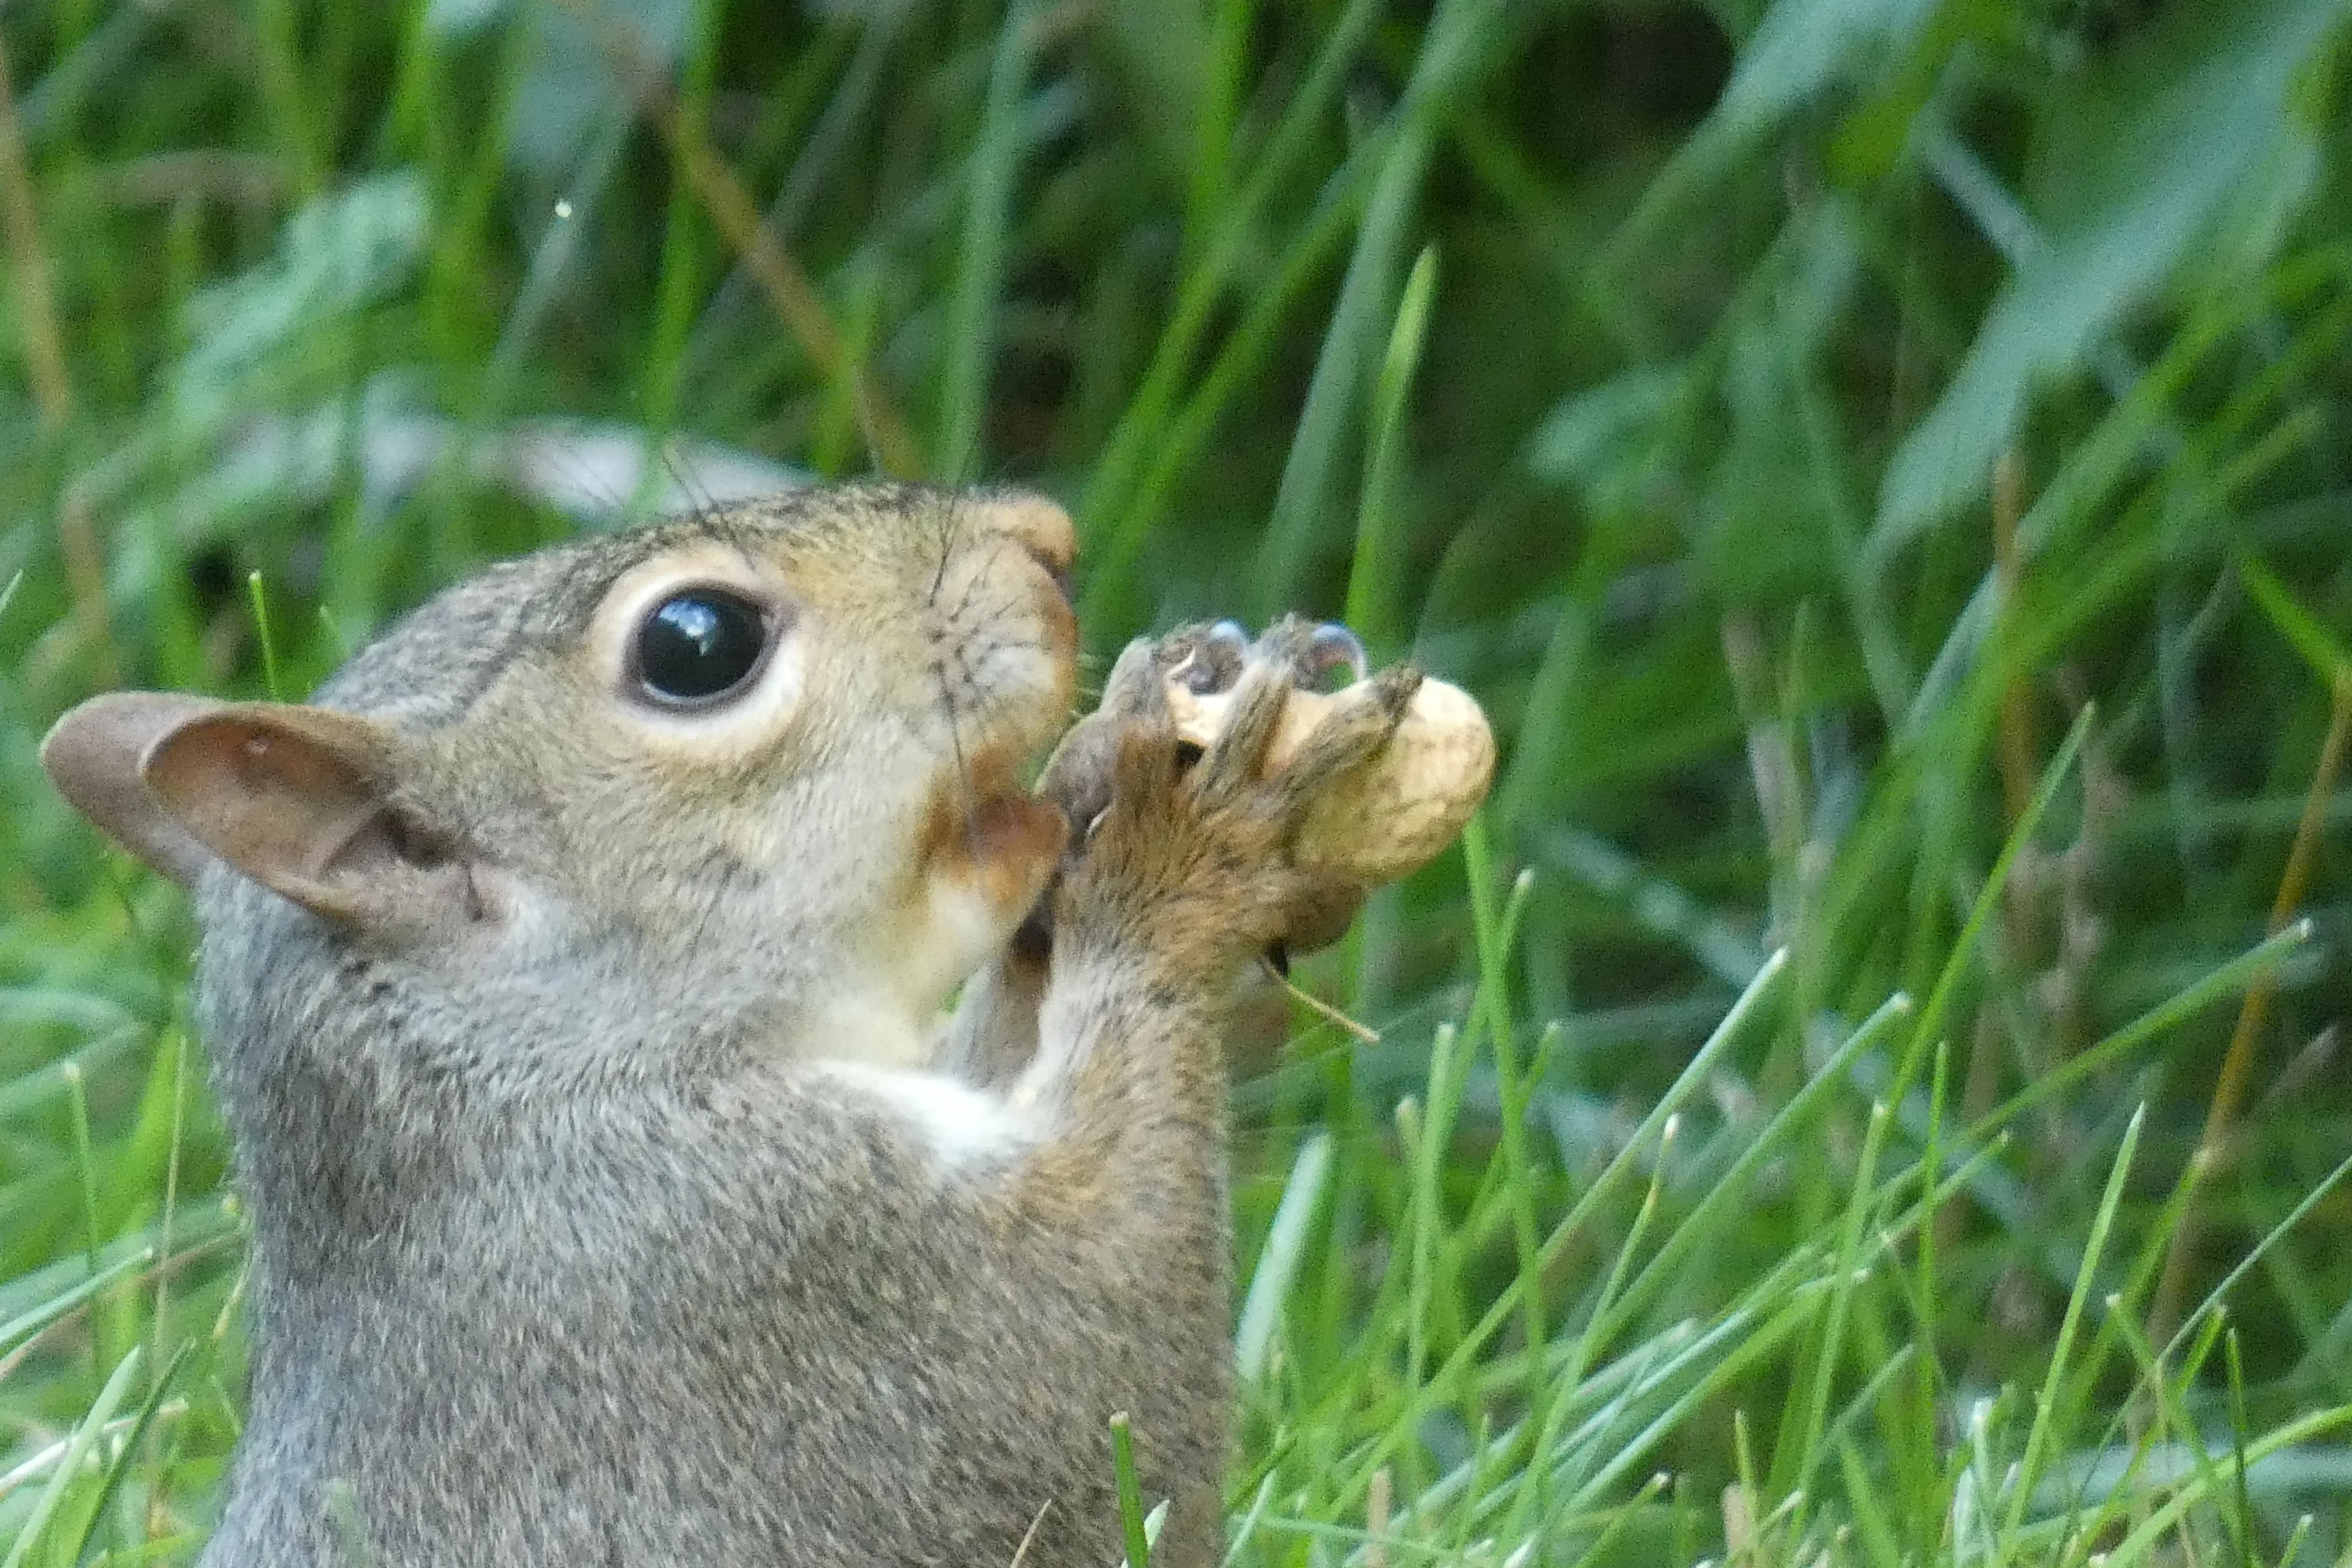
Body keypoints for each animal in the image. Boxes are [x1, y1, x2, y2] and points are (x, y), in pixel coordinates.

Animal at [41, 483, 1420, 1568]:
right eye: (697, 643)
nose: (1047, 537)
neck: (523, 1084)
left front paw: (1108, 772)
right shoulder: (802, 1268)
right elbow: (1123, 1342)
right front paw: (1182, 856)